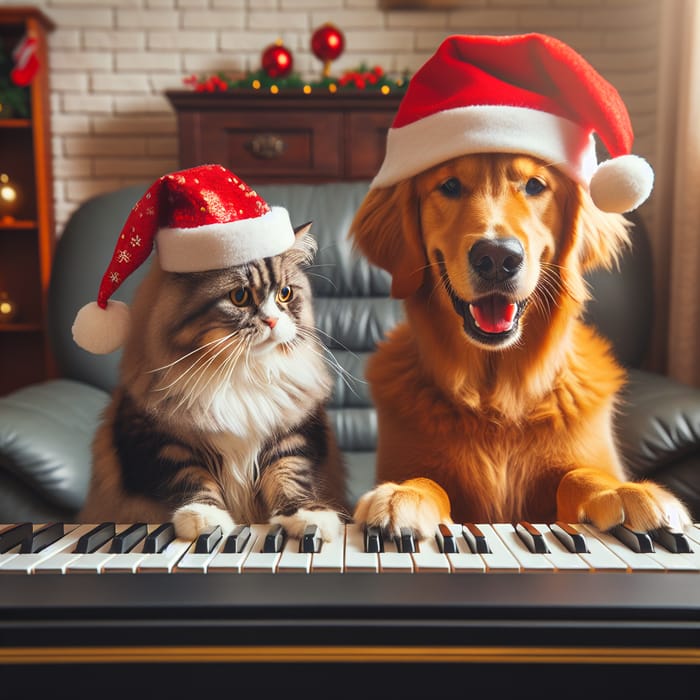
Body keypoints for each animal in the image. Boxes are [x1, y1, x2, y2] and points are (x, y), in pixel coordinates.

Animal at [80, 224, 350, 540]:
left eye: (284, 294)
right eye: (239, 297)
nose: (272, 322)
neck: (240, 372)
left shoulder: (292, 434)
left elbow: (289, 474)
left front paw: (308, 517)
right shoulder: (158, 438)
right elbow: (191, 477)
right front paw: (204, 518)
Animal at [352, 152, 692, 536]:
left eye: (534, 186)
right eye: (450, 186)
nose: (497, 258)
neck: (497, 401)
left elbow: (578, 474)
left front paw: (618, 491)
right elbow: (431, 480)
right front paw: (405, 494)